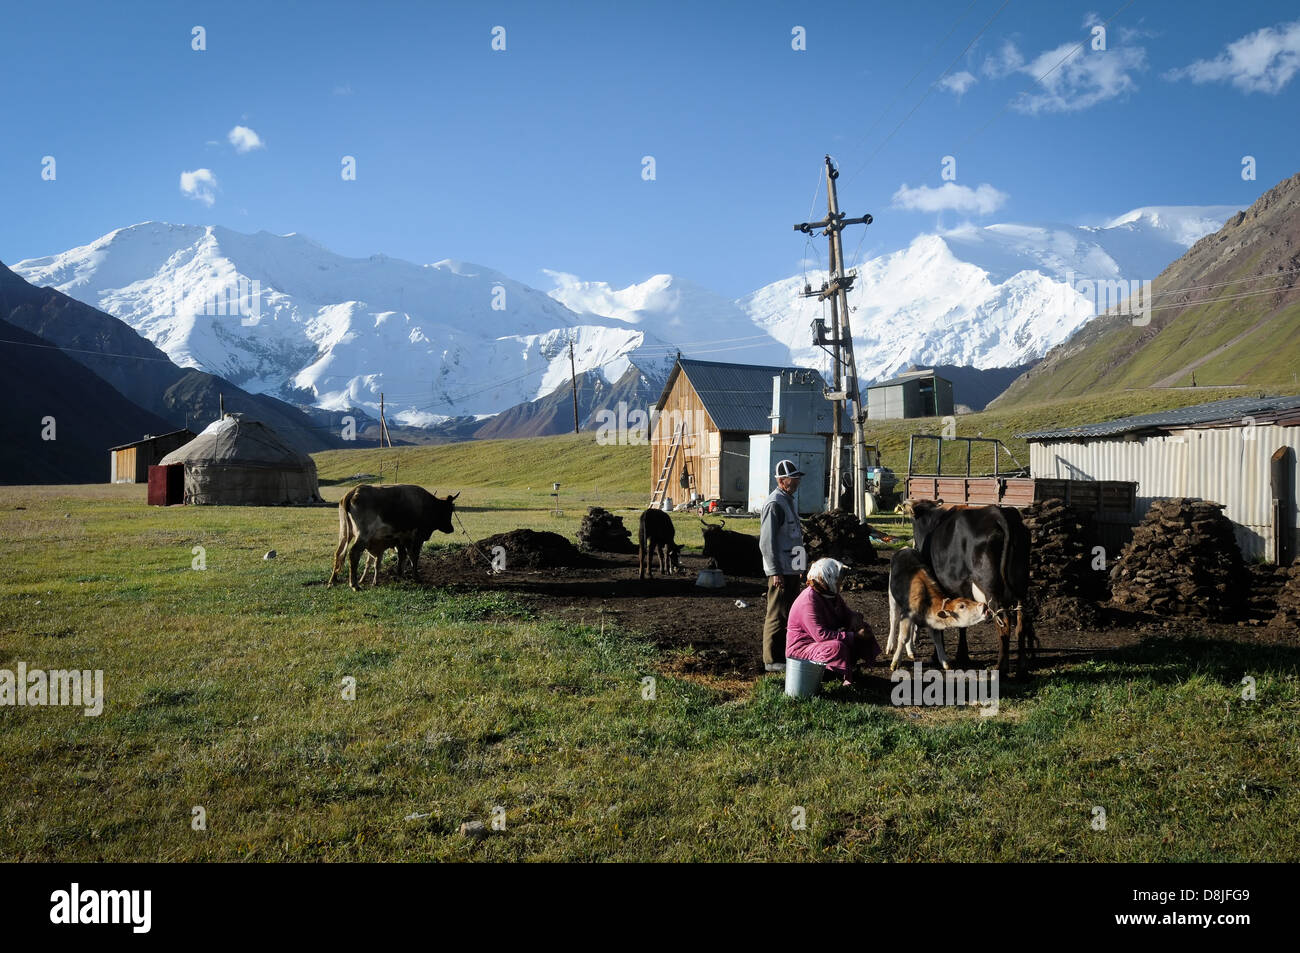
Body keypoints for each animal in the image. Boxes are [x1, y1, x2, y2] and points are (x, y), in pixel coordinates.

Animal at [327, 486, 460, 590]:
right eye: (449, 510)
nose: (451, 528)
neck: (427, 505)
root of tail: (354, 491)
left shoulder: (403, 538)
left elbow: (403, 557)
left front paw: (401, 575)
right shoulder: (417, 537)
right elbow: (414, 556)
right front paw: (416, 576)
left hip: (344, 533)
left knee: (339, 553)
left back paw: (333, 581)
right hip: (363, 535)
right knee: (353, 553)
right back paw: (354, 584)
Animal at [915, 499, 1034, 676]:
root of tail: (997, 513)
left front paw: (938, 657)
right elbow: (962, 623)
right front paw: (962, 655)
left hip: (991, 588)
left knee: (1004, 622)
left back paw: (1001, 668)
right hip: (1020, 586)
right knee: (1021, 621)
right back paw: (1022, 667)